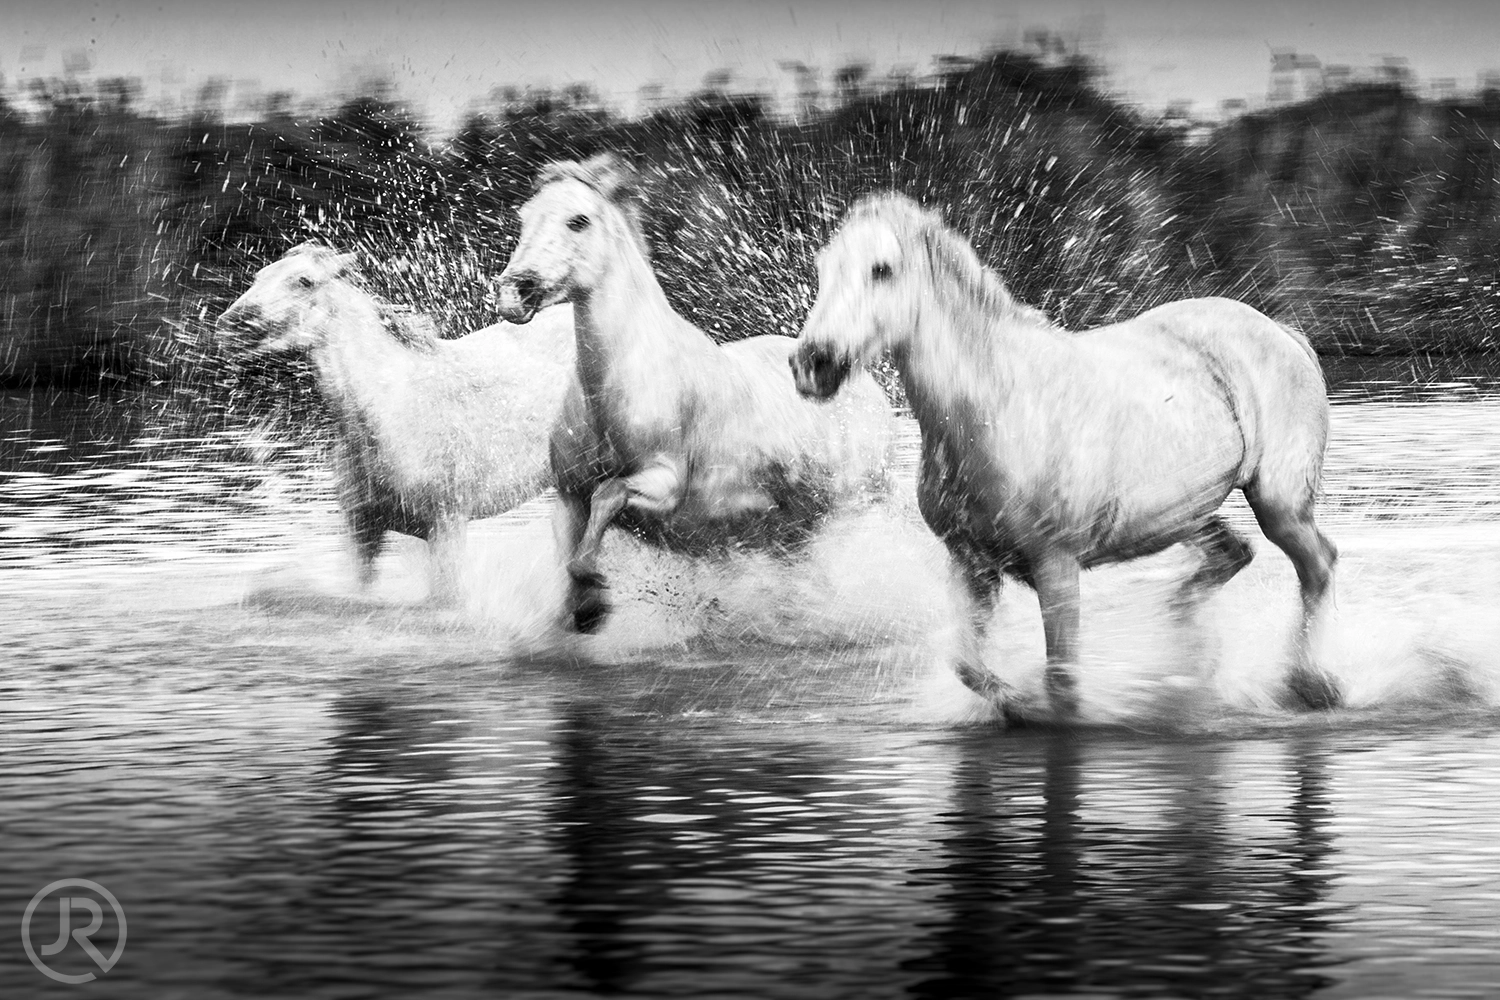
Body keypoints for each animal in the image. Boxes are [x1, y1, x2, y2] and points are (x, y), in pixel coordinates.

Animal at [216, 242, 576, 599]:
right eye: (259, 276)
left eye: (304, 281)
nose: (230, 325)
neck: (395, 412)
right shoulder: (361, 529)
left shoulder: (447, 526)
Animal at [492, 154, 895, 634]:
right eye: (523, 217)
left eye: (579, 221)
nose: (515, 291)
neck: (614, 384)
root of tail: (869, 392)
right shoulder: (569, 497)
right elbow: (570, 552)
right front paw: (585, 605)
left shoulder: (664, 483)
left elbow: (608, 494)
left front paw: (594, 589)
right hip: (789, 537)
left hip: (847, 513)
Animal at [790, 193, 1339, 719]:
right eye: (823, 267)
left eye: (882, 268)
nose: (812, 363)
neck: (996, 412)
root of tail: (1283, 333)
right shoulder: (971, 563)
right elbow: (966, 664)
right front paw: (1015, 705)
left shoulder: (1055, 565)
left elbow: (1063, 684)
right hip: (1184, 515)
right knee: (1231, 556)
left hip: (1278, 505)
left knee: (1317, 566)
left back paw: (1310, 685)